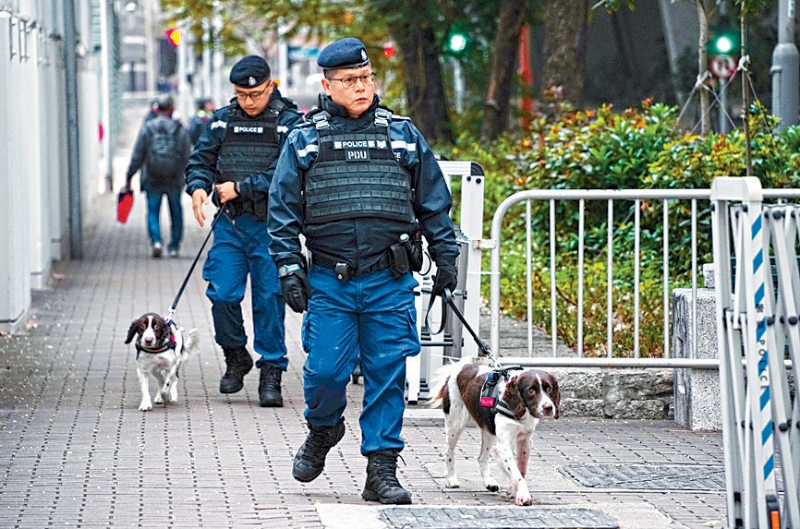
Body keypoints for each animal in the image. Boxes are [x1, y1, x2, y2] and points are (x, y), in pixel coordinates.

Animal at [428, 360, 560, 506]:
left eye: (549, 389)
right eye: (531, 390)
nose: (548, 408)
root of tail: (461, 366)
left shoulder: (525, 440)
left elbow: (521, 469)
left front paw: (512, 489)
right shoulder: (503, 446)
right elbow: (516, 472)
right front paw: (523, 495)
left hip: (488, 430)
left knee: (481, 457)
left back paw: (489, 482)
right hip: (455, 424)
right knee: (449, 451)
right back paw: (451, 479)